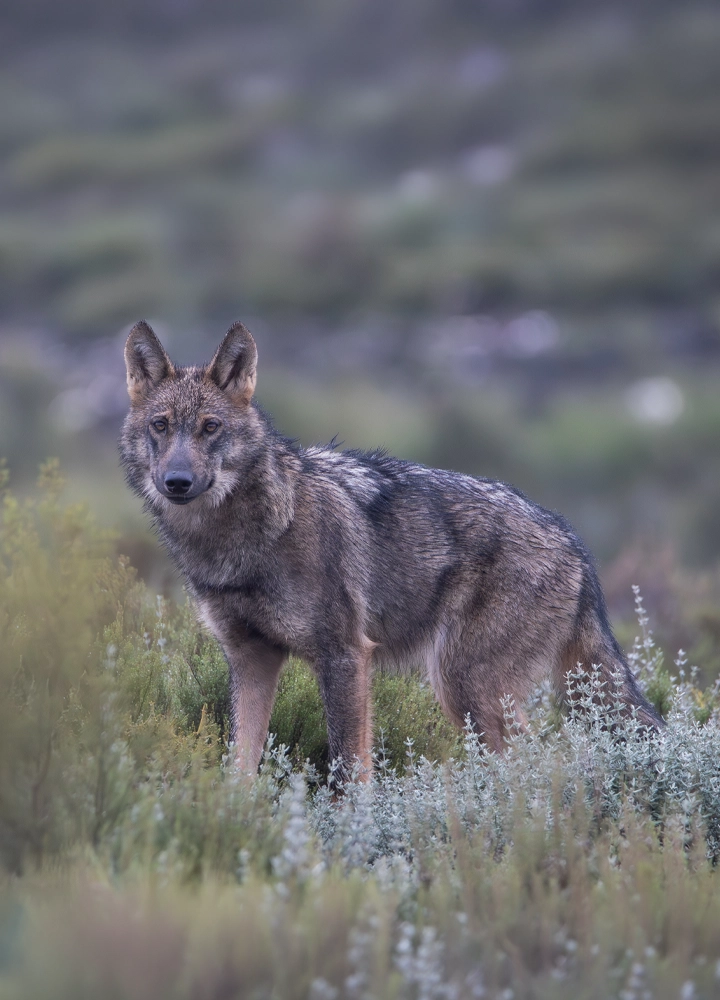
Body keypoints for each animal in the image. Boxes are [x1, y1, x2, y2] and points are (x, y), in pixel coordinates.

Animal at [120, 320, 662, 780]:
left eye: (210, 427)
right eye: (161, 426)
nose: (177, 481)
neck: (250, 537)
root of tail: (573, 541)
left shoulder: (345, 656)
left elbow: (349, 774)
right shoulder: (251, 659)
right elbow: (240, 768)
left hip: (463, 688)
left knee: (541, 763)